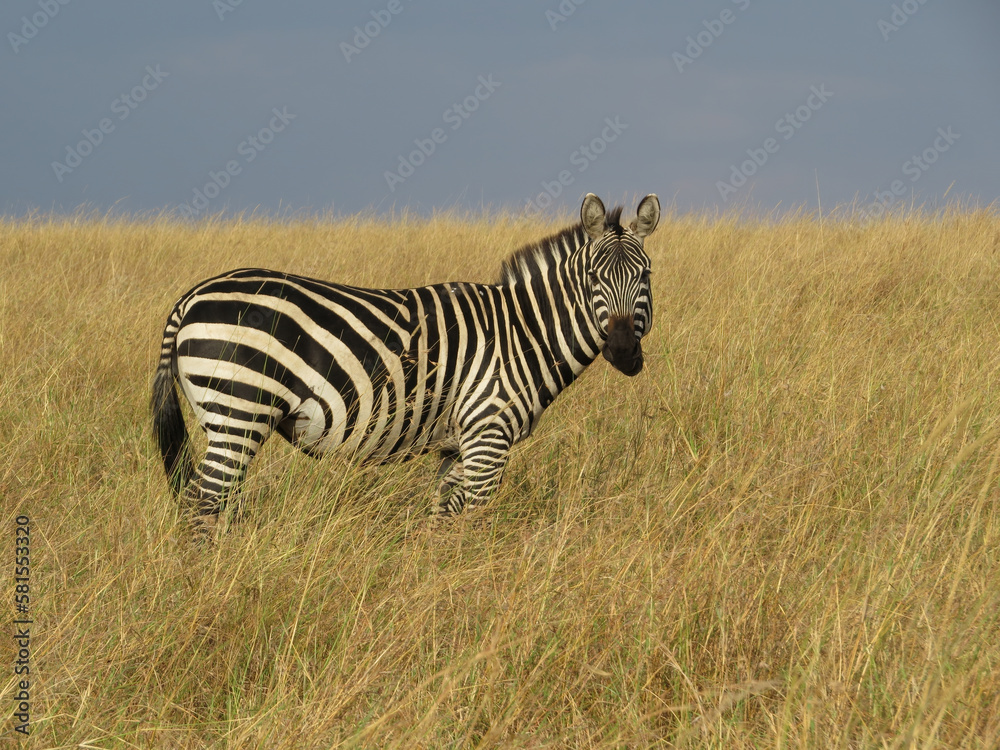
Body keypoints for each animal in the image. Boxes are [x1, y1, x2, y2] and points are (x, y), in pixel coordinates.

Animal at [152, 192, 660, 530]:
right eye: (593, 277)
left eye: (646, 275)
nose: (623, 352)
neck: (524, 333)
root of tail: (190, 297)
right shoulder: (488, 437)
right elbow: (476, 523)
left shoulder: (457, 447)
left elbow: (443, 522)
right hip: (239, 413)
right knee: (201, 507)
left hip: (224, 420)